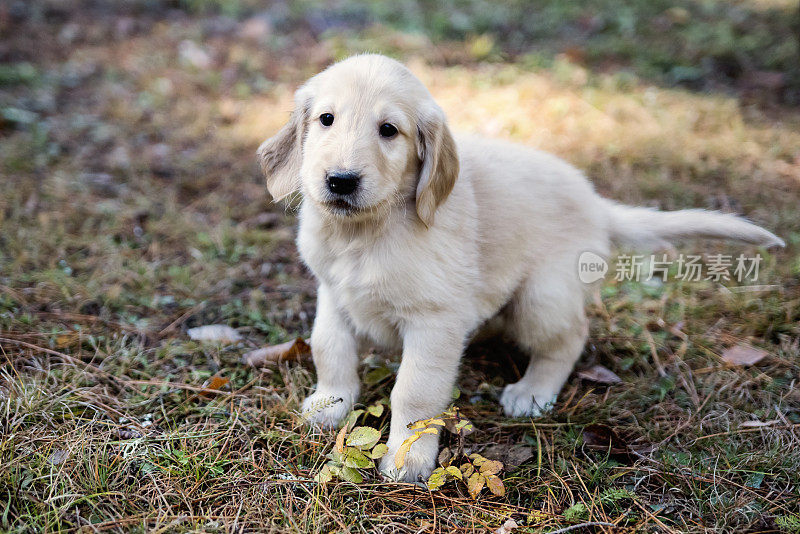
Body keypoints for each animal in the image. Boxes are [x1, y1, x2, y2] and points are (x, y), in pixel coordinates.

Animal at [260, 55, 784, 486]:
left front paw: (408, 458)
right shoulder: (333, 294)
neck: (367, 233)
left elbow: (415, 393)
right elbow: (329, 350)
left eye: (389, 130)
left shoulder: (434, 321)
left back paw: (532, 391)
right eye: (326, 119)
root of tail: (596, 205)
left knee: (569, 339)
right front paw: (329, 406)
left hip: (541, 299)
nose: (340, 181)